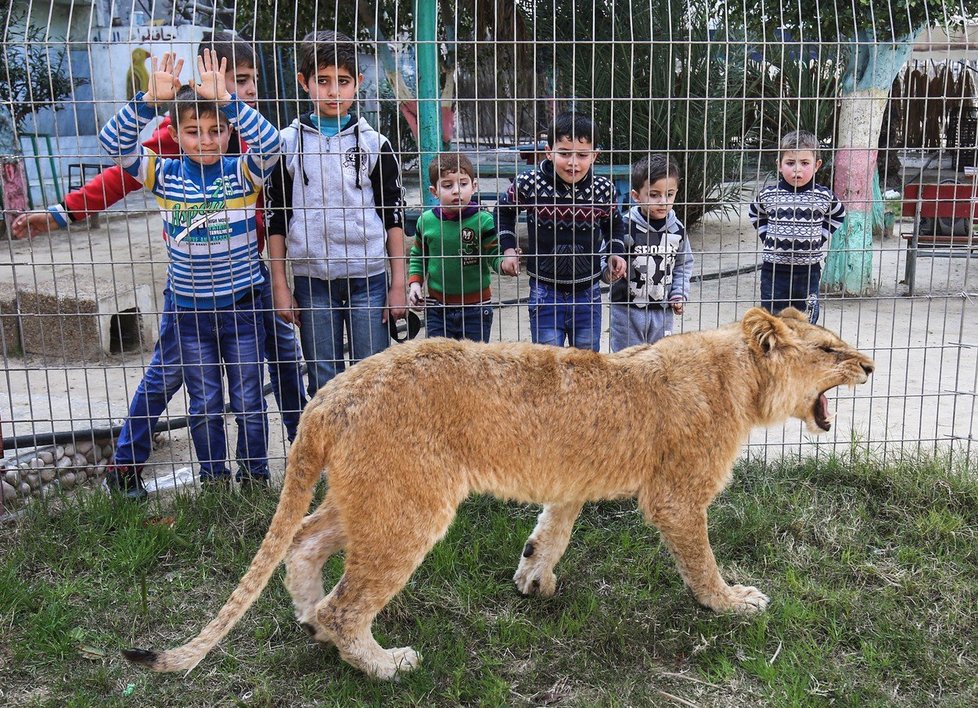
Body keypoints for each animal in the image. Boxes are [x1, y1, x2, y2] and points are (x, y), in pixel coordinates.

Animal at [118, 308, 872, 680]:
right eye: (829, 350)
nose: (869, 364)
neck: (739, 379)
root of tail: (329, 395)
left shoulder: (573, 481)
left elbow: (554, 528)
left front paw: (534, 579)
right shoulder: (678, 497)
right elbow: (702, 562)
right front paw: (732, 603)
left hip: (376, 495)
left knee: (303, 544)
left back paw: (309, 623)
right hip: (411, 506)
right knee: (346, 603)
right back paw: (382, 665)